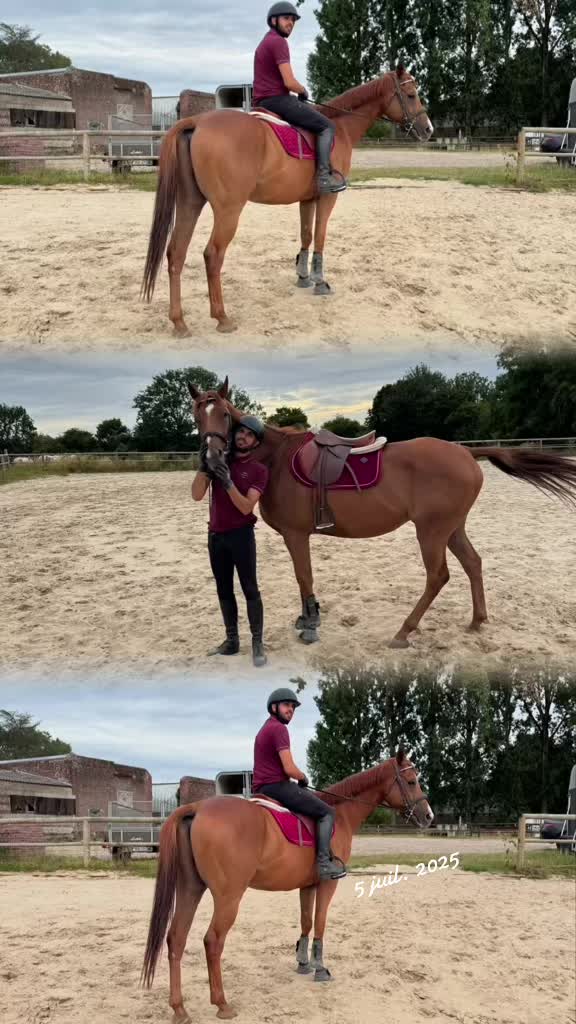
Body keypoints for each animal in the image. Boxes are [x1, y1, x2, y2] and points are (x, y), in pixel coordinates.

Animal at [142, 66, 433, 335]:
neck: (339, 127)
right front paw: (320, 282)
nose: (428, 129)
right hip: (228, 210)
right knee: (212, 255)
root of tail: (198, 121)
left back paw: (179, 322)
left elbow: (306, 235)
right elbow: (320, 236)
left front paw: (303, 277)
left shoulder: (308, 200)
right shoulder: (327, 198)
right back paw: (222, 317)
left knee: (176, 253)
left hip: (190, 203)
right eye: (411, 95)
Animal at [142, 750, 432, 1021]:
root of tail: (198, 808)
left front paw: (303, 963)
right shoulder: (327, 885)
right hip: (228, 897)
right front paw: (320, 968)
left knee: (176, 938)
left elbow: (306, 921)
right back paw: (222, 1003)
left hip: (190, 889)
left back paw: (179, 1009)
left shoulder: (308, 886)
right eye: (412, 781)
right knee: (212, 941)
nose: (429, 816)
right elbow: (320, 922)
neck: (339, 814)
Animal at [188, 379, 576, 648]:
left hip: (431, 531)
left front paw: (310, 626)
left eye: (224, 414)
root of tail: (467, 453)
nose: (212, 458)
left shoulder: (296, 535)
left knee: (438, 576)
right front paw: (305, 619)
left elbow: (304, 578)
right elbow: (304, 579)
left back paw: (404, 631)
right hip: (452, 528)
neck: (277, 459)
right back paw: (477, 621)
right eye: (196, 414)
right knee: (473, 563)